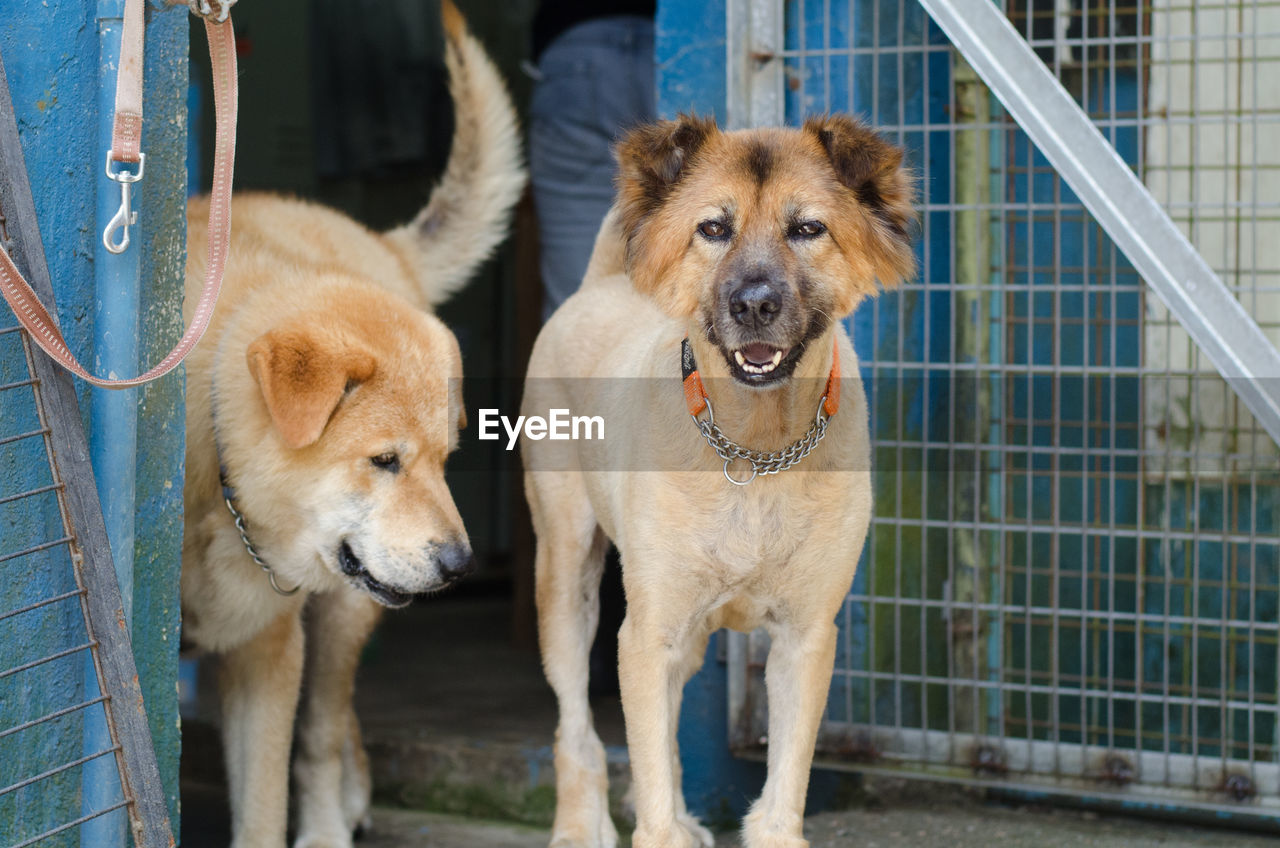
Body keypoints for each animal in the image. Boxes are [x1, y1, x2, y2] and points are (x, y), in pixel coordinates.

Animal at [177, 3, 522, 845]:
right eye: (384, 461)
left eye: (443, 461)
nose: (461, 566)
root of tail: (379, 243)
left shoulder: (268, 652)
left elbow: (267, 803)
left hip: (343, 614)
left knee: (325, 731)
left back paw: (335, 816)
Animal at [524, 114, 916, 848]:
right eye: (712, 228)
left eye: (807, 228)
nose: (753, 303)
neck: (754, 449)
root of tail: (598, 286)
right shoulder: (645, 633)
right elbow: (643, 766)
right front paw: (655, 827)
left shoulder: (804, 636)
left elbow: (783, 779)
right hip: (568, 579)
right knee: (574, 724)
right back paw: (579, 825)